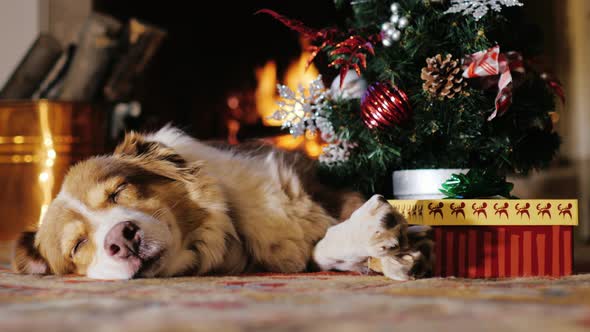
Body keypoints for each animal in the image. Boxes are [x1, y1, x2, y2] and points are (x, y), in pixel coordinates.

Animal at [11, 126, 432, 278]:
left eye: (119, 191)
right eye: (77, 245)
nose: (122, 238)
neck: (231, 233)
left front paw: (380, 236)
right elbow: (319, 251)